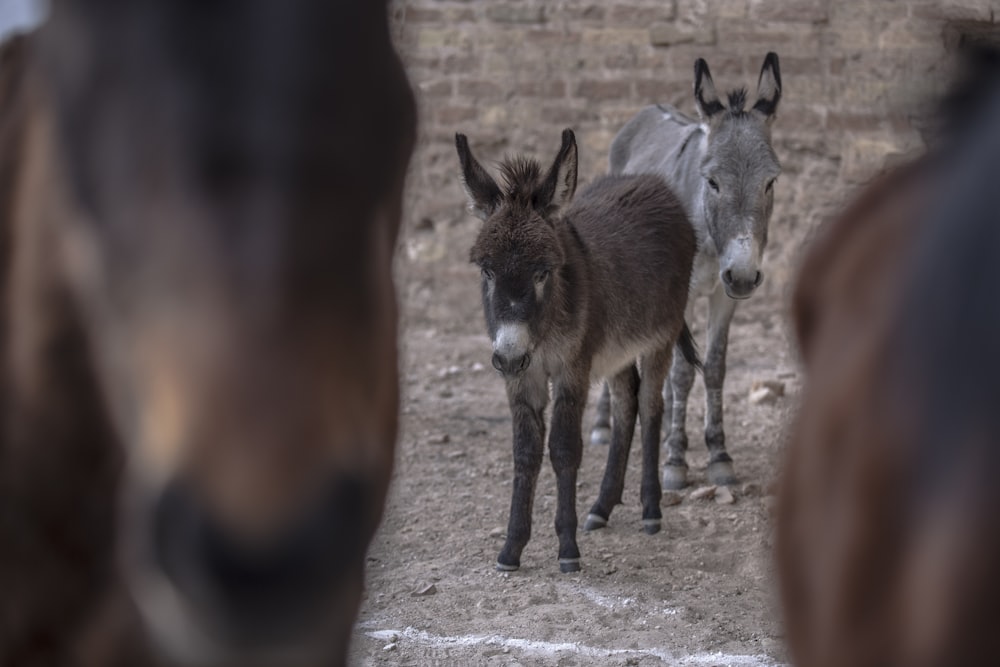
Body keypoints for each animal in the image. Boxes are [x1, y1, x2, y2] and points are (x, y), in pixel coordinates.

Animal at [458, 130, 700, 576]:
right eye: (487, 271)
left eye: (542, 273)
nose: (508, 357)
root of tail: (654, 184)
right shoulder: (524, 378)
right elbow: (525, 453)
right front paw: (511, 549)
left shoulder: (573, 369)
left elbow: (565, 449)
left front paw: (567, 549)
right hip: (617, 349)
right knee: (626, 403)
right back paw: (602, 507)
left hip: (660, 337)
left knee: (651, 406)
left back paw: (651, 509)